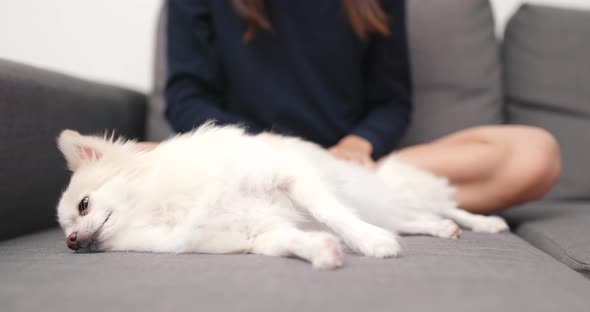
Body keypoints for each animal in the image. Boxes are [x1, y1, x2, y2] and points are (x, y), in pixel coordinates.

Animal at [56, 123, 508, 270]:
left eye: (83, 206)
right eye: (66, 234)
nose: (72, 242)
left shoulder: (292, 179)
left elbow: (332, 214)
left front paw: (369, 242)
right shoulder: (259, 234)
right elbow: (293, 240)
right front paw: (322, 251)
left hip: (387, 196)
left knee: (445, 205)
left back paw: (484, 223)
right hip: (392, 210)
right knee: (416, 220)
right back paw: (440, 229)